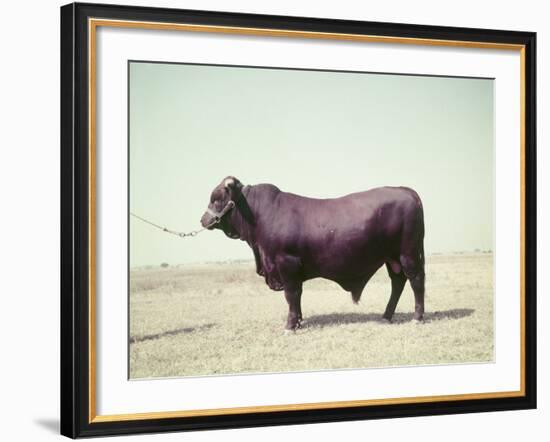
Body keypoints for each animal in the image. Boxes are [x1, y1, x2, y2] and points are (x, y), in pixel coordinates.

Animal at [202, 176, 426, 332]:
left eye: (217, 200)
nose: (203, 220)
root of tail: (405, 190)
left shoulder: (286, 263)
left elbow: (291, 294)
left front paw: (290, 325)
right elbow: (297, 295)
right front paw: (299, 321)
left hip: (408, 253)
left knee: (416, 280)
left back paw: (417, 317)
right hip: (392, 258)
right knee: (398, 282)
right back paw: (386, 316)